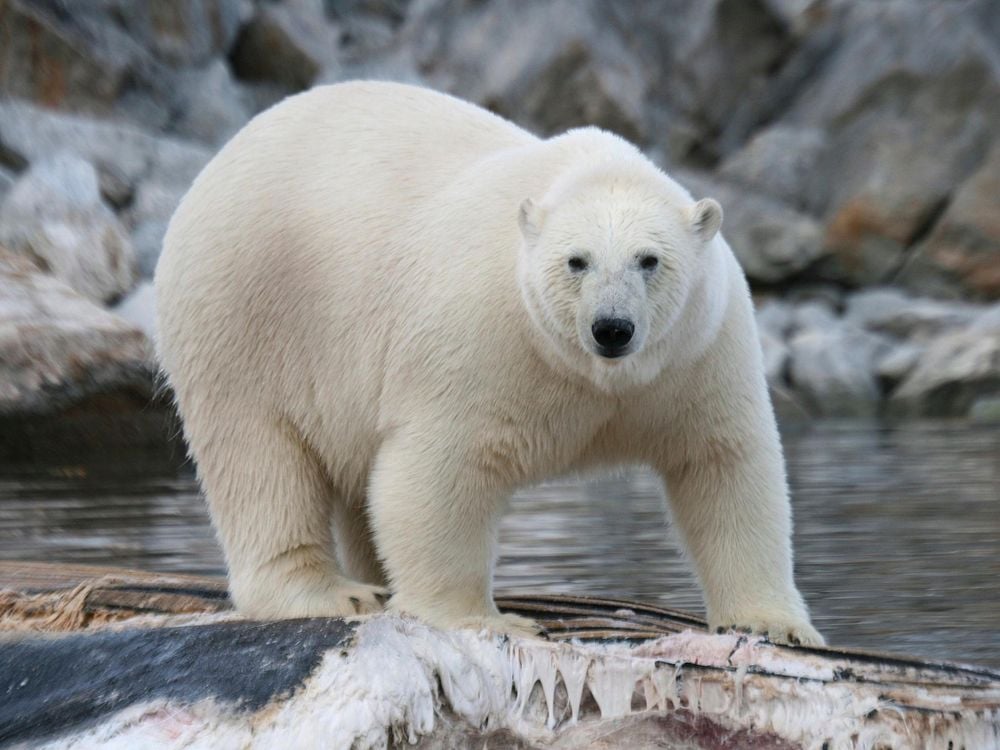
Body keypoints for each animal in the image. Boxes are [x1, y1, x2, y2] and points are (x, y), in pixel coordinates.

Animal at [156, 81, 824, 648]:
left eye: (649, 259)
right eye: (577, 261)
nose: (612, 328)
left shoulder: (697, 352)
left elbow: (724, 462)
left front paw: (775, 625)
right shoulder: (483, 335)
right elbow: (437, 470)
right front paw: (483, 618)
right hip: (246, 309)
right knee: (258, 455)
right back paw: (334, 593)